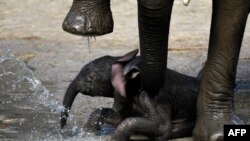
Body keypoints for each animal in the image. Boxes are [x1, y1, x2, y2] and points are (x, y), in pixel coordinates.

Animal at [60, 49, 201, 140]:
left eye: (91, 77)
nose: (62, 129)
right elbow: (120, 116)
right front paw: (88, 135)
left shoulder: (153, 97)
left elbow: (162, 126)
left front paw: (110, 139)